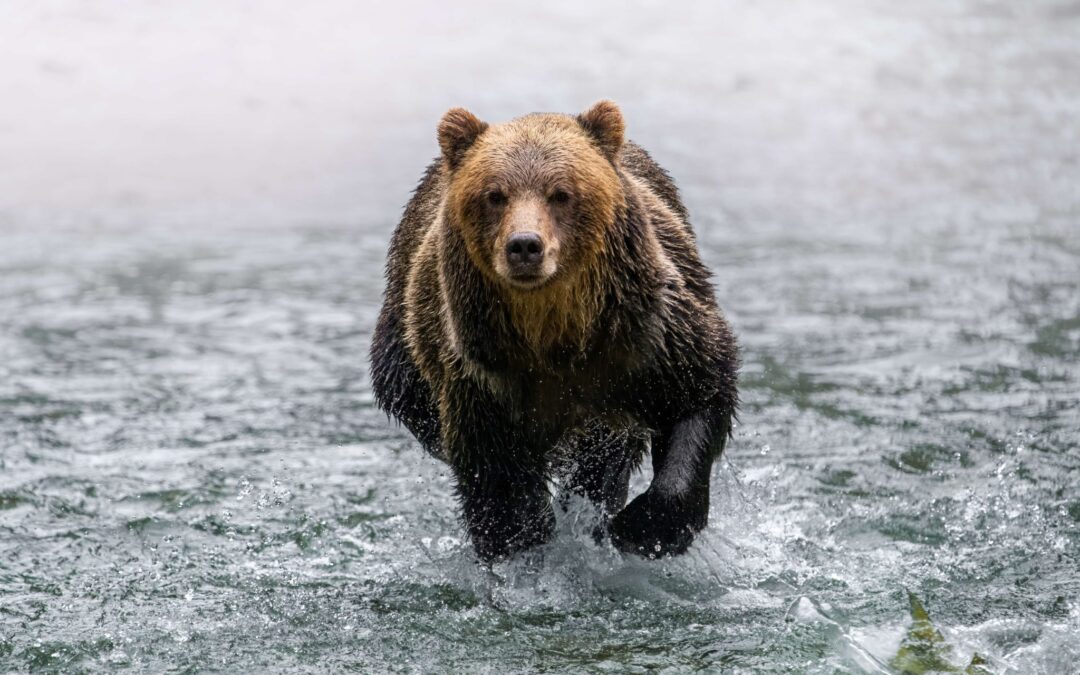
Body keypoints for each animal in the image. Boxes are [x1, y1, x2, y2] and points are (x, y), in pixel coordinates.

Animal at [369, 99, 734, 561]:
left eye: (561, 192)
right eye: (495, 195)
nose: (525, 245)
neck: (553, 333)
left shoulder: (647, 337)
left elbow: (700, 392)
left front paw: (646, 527)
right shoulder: (483, 378)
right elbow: (496, 478)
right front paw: (524, 539)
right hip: (406, 347)